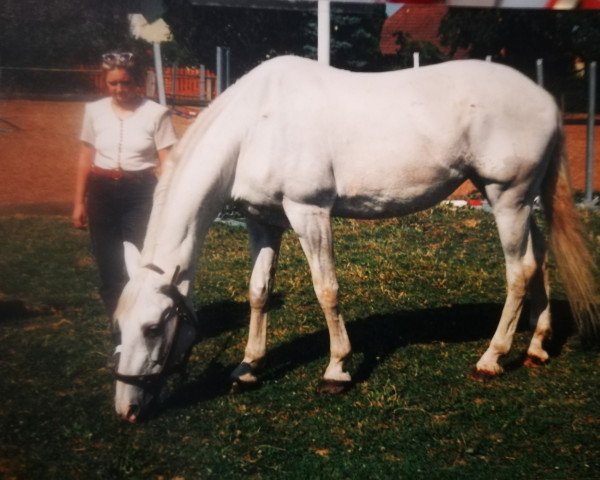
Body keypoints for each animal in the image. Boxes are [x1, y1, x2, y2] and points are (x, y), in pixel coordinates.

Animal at [111, 57, 596, 424]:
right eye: (118, 325)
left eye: (153, 327)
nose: (126, 410)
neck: (256, 125)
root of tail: (545, 100)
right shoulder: (263, 222)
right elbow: (258, 292)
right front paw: (248, 367)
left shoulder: (309, 212)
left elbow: (327, 290)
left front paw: (336, 371)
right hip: (516, 200)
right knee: (539, 258)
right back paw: (537, 346)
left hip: (507, 197)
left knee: (520, 270)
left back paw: (492, 359)